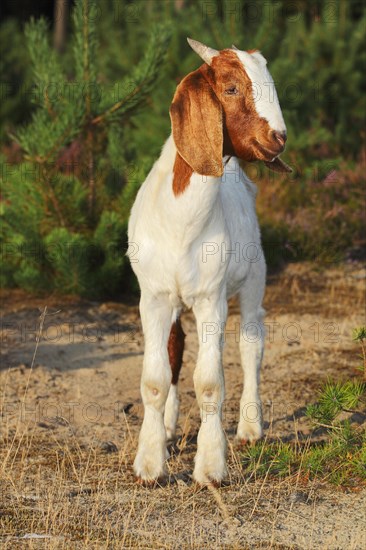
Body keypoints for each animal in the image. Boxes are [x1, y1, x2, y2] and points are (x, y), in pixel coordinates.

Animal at [127, 38, 290, 486]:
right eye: (231, 88)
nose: (279, 138)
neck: (180, 223)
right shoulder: (153, 297)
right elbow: (154, 378)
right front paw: (150, 464)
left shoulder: (210, 299)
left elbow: (210, 383)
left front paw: (211, 467)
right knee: (175, 346)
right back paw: (168, 425)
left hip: (253, 279)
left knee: (251, 342)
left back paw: (250, 427)